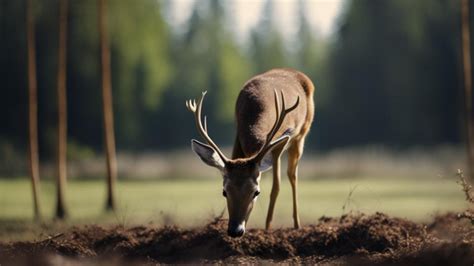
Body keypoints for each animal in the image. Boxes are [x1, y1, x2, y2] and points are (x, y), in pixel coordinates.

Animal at [186, 68, 314, 237]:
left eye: (256, 192)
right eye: (224, 191)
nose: (235, 230)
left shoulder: (277, 147)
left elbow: (276, 187)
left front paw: (267, 228)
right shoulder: (238, 135)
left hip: (301, 135)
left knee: (292, 175)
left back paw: (296, 224)